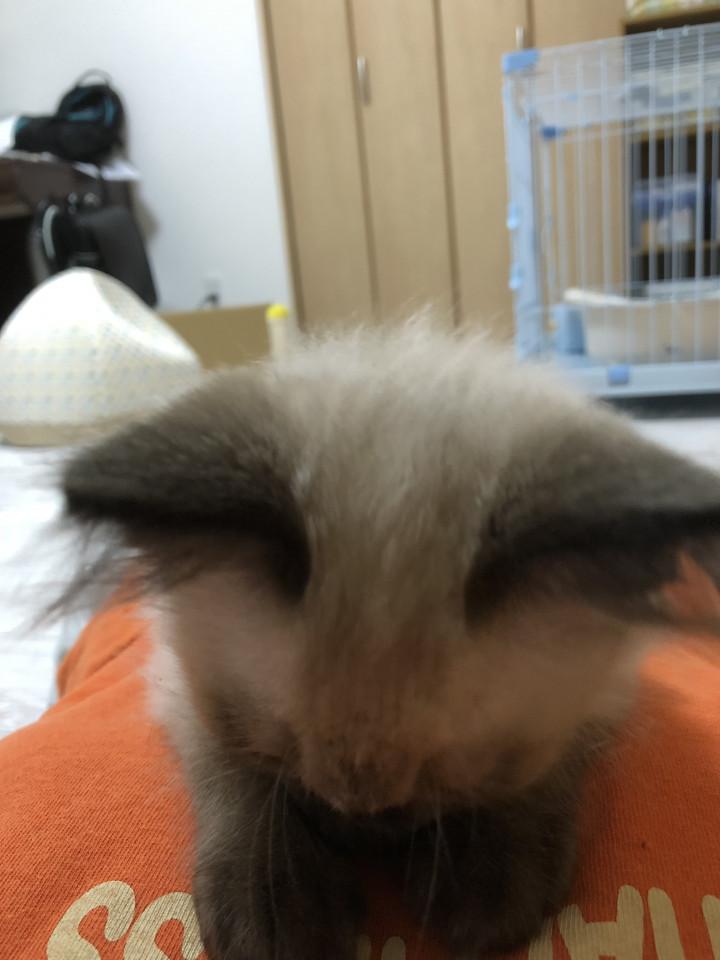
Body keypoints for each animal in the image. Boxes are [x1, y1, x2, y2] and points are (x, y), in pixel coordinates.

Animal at [60, 323, 720, 960]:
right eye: (281, 750)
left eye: (461, 772)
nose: (363, 828)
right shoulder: (175, 682)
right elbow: (230, 768)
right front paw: (274, 903)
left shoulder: (608, 686)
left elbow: (552, 764)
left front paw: (490, 879)